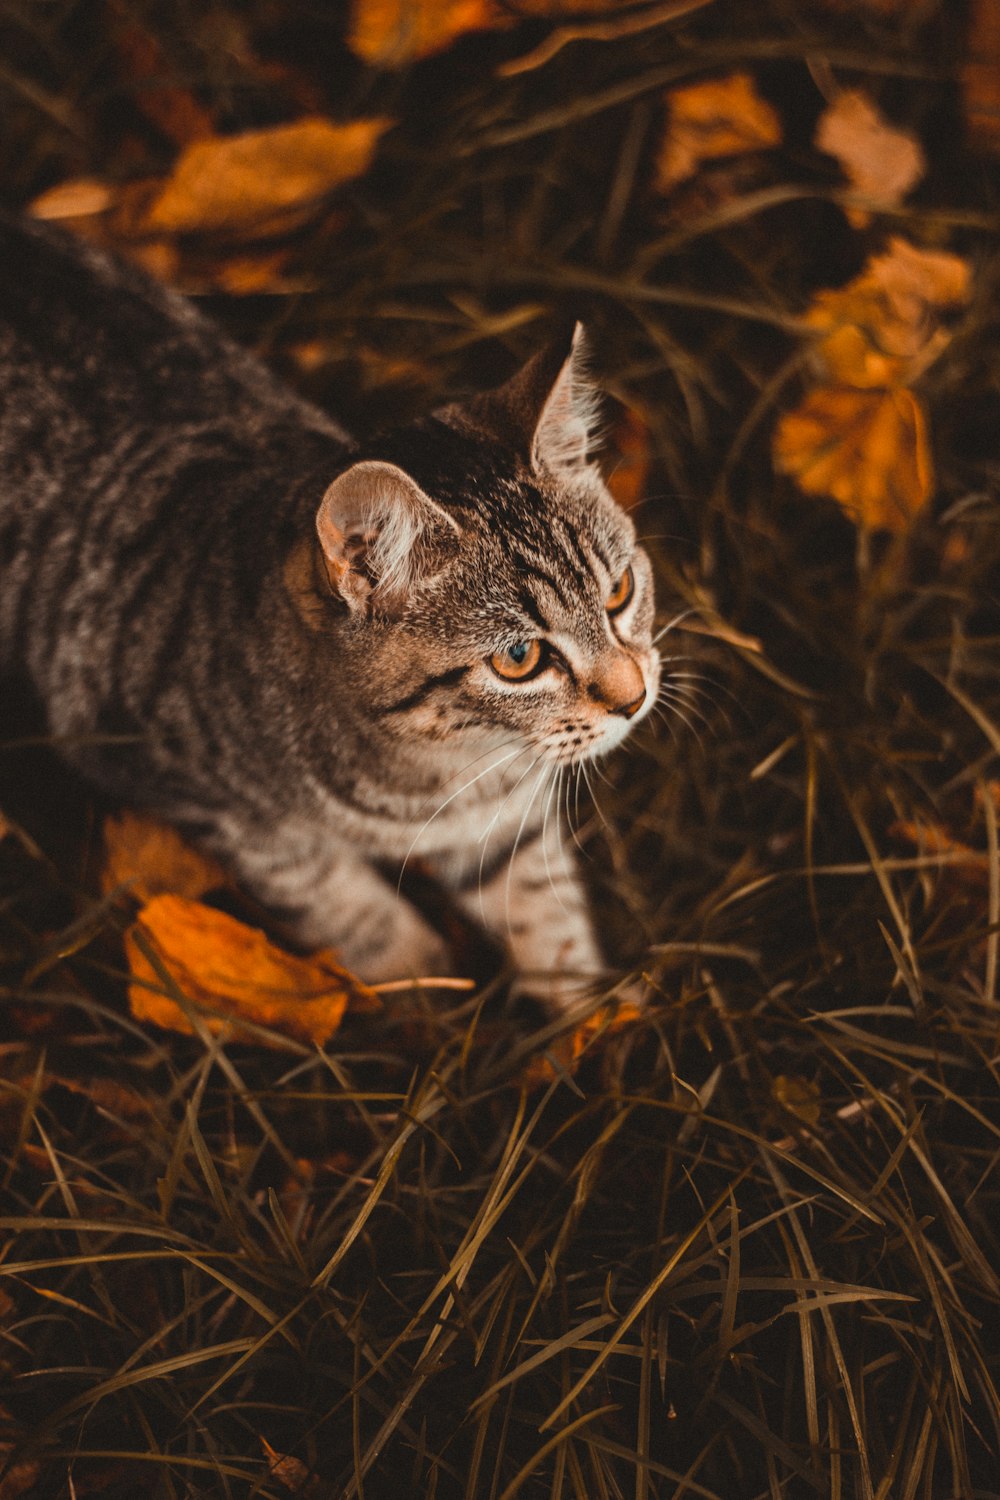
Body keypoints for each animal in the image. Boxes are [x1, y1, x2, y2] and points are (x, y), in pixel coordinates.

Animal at [0, 211, 659, 1014]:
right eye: (519, 658)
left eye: (619, 592)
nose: (634, 697)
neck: (443, 769)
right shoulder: (188, 787)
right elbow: (329, 894)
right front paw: (415, 978)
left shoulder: (502, 818)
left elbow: (539, 899)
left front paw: (592, 1018)